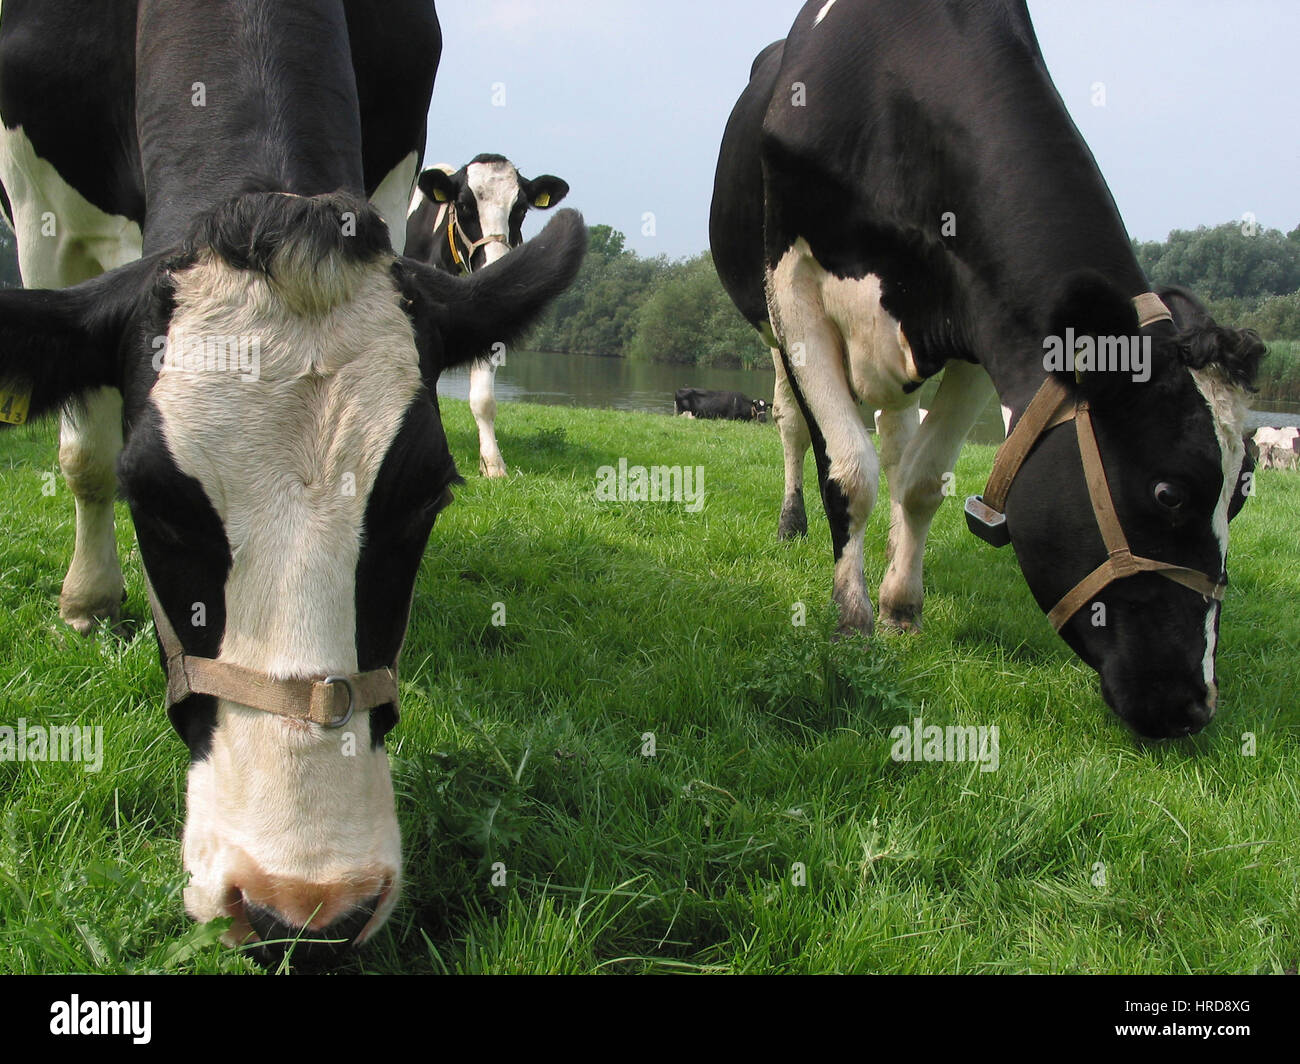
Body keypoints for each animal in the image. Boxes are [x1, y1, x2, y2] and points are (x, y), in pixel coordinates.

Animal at [707, 0, 1263, 744]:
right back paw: (791, 522)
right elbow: (849, 473)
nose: (1194, 705)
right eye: (1170, 491)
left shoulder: (978, 319)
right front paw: (852, 625)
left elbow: (920, 481)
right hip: (768, 327)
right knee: (795, 426)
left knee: (896, 437)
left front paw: (901, 608)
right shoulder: (793, 287)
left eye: (1242, 494)